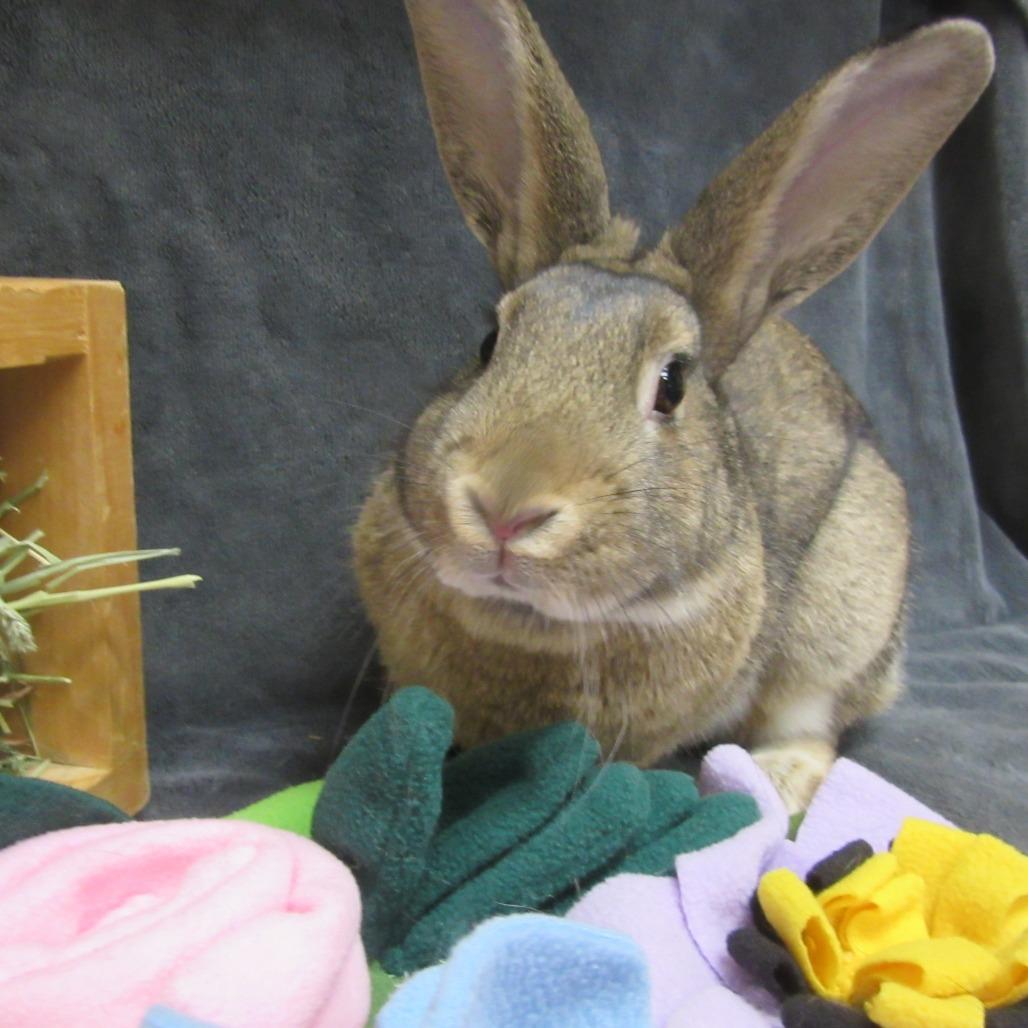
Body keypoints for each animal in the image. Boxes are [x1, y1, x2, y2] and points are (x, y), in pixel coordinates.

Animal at [353, 0, 994, 812]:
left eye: (671, 385)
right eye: (490, 341)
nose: (505, 510)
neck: (529, 630)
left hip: (847, 613)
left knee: (816, 721)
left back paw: (778, 783)